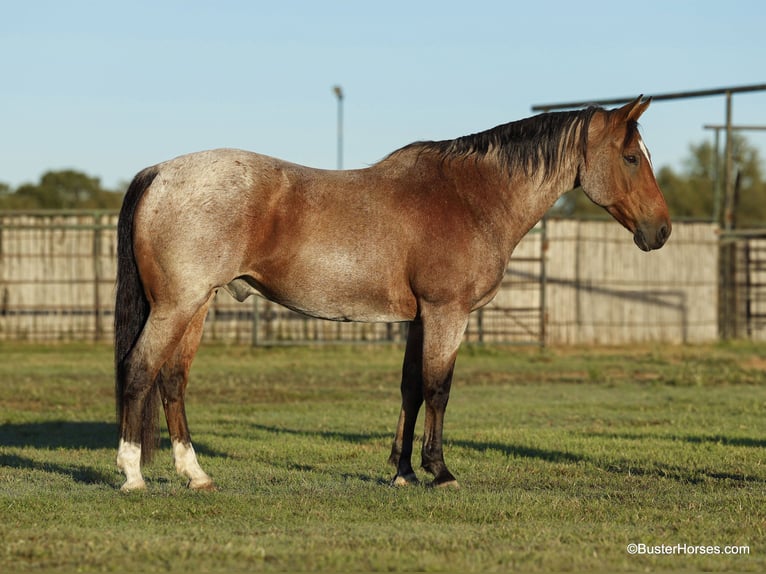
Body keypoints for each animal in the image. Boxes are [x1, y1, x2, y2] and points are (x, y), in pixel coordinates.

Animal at [114, 96, 670, 492]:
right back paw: (133, 474)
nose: (661, 231)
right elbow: (438, 389)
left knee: (172, 381)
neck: (471, 197)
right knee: (140, 371)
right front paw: (440, 472)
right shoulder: (447, 314)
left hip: (197, 305)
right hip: (178, 306)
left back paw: (196, 475)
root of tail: (160, 172)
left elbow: (410, 389)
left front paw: (402, 471)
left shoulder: (420, 318)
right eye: (630, 157)